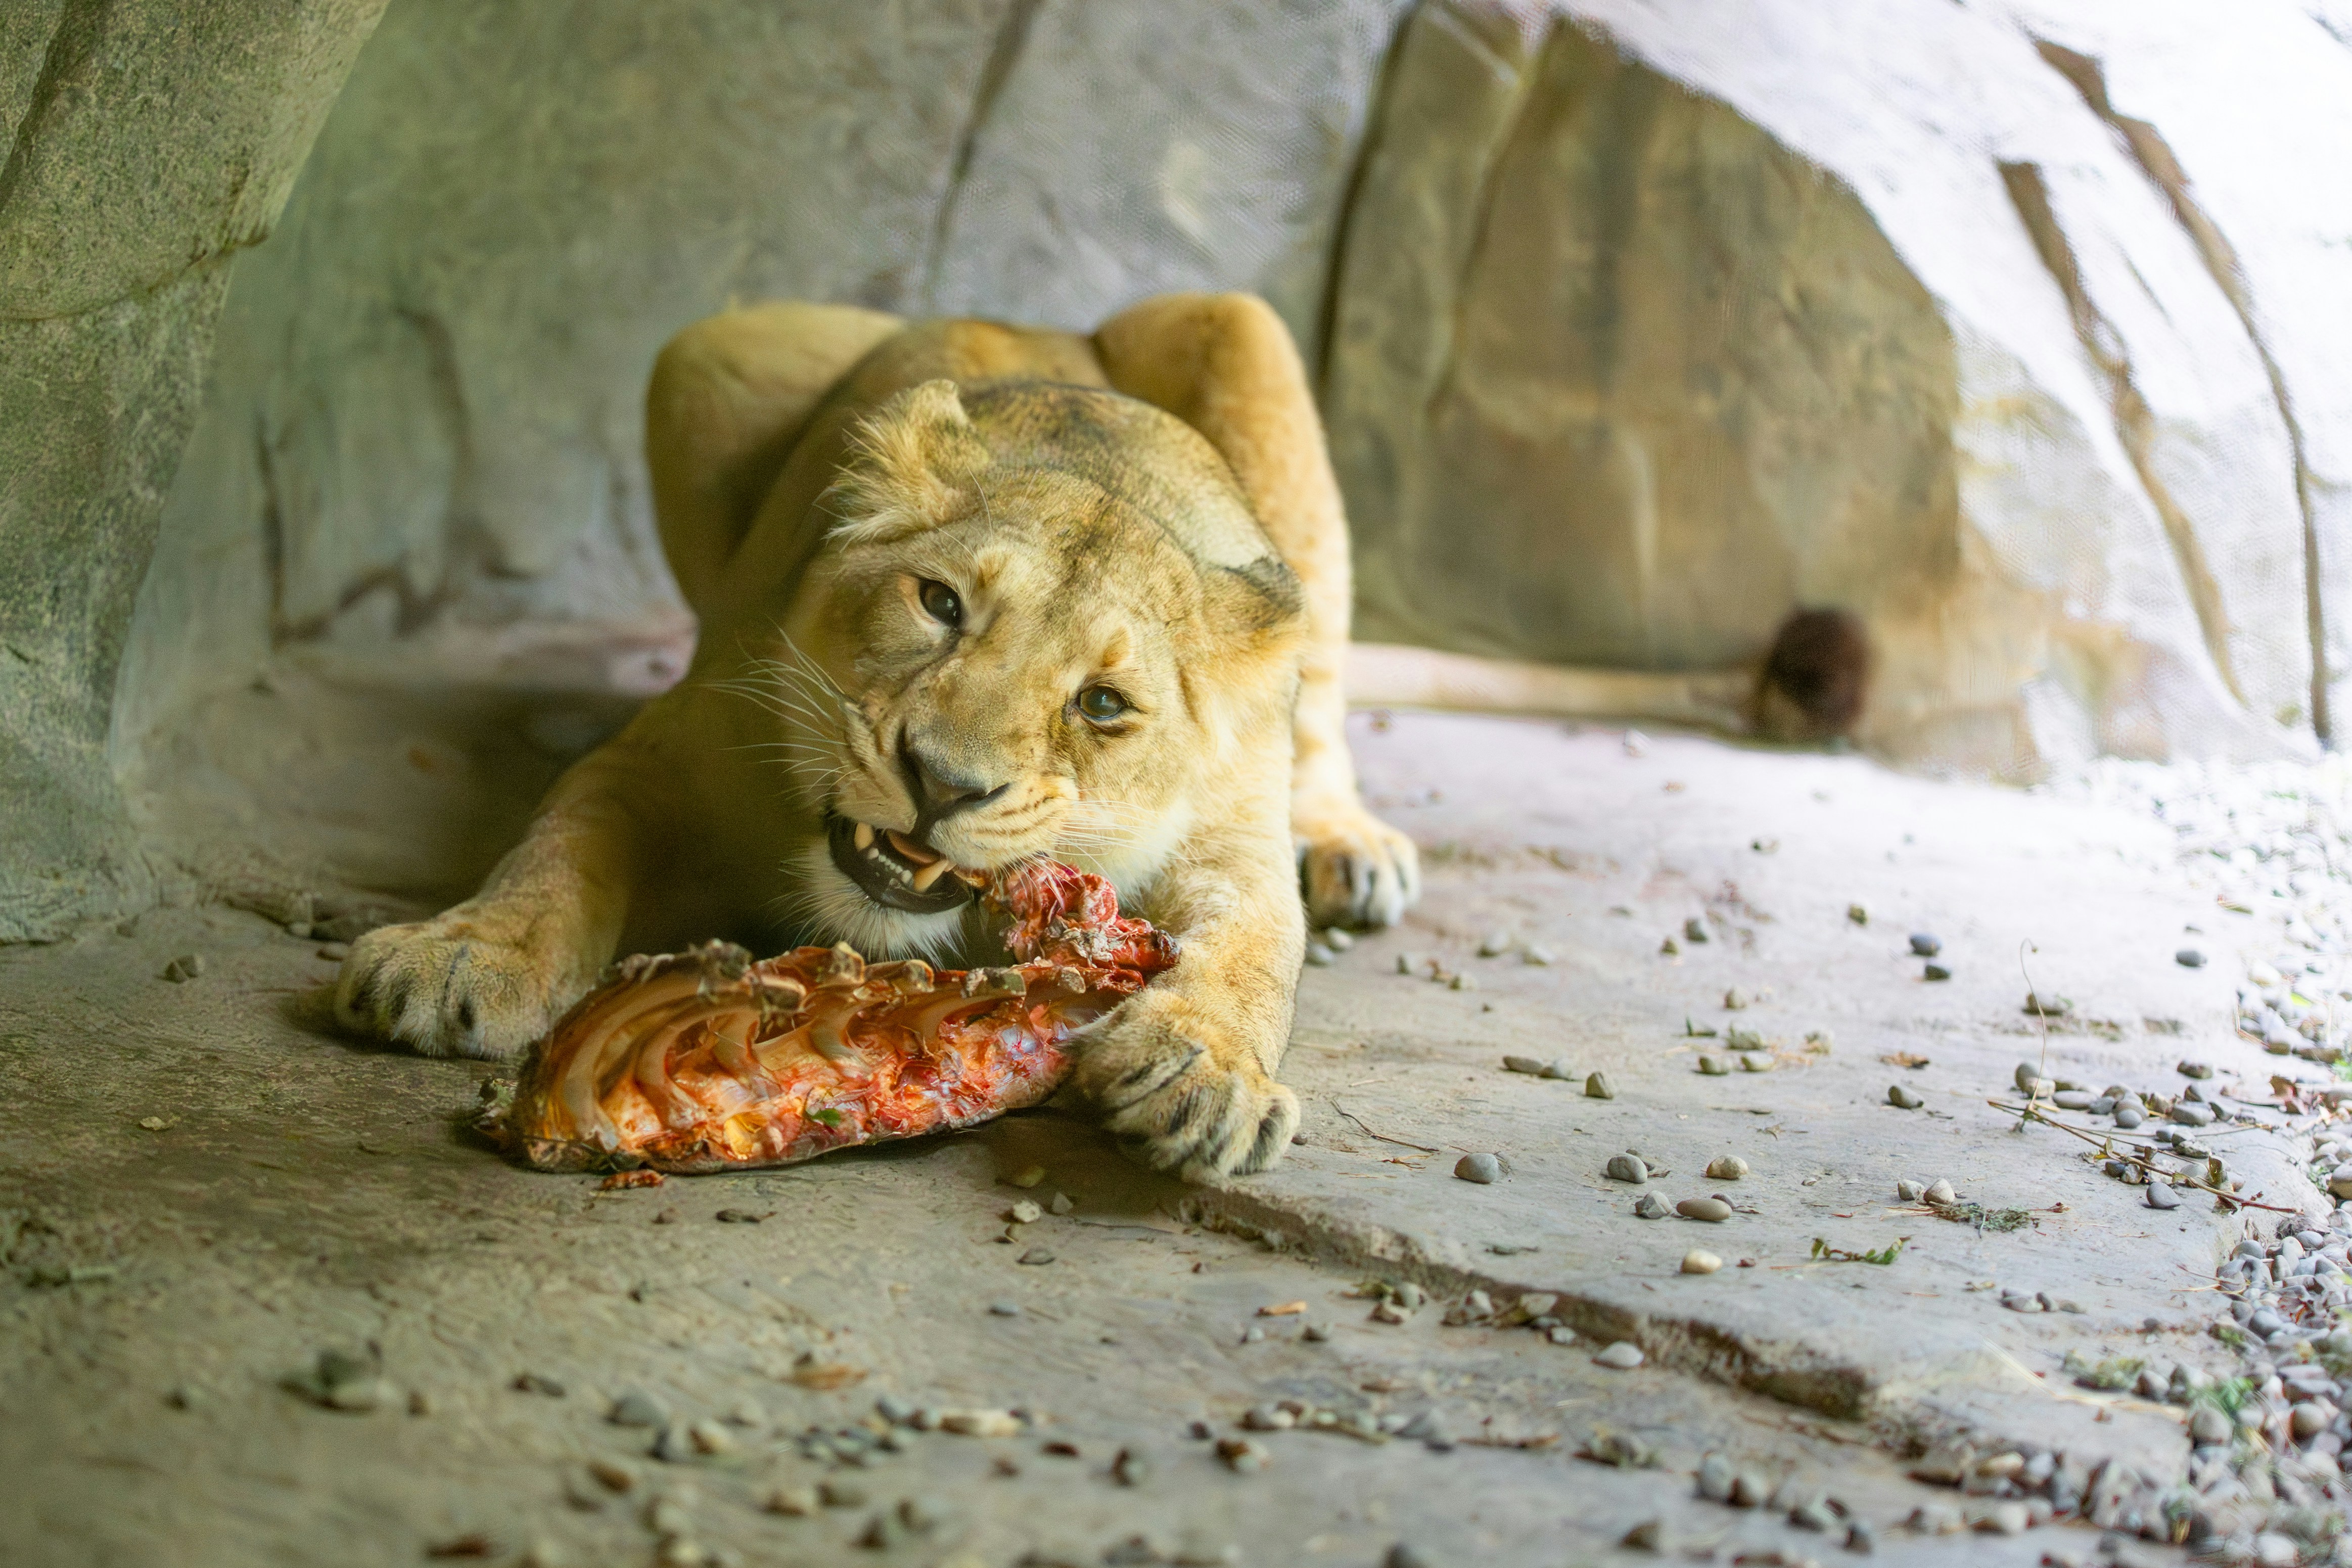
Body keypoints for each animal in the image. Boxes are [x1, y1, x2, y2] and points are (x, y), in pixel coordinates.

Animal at [333, 292, 1419, 1179]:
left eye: (1102, 705)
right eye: (939, 603)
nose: (941, 783)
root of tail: (1038, 321)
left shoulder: (1231, 829)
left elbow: (1255, 941)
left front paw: (1201, 1071)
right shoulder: (674, 748)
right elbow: (560, 846)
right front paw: (460, 955)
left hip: (1248, 346)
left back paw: (1350, 848)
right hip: (710, 351)